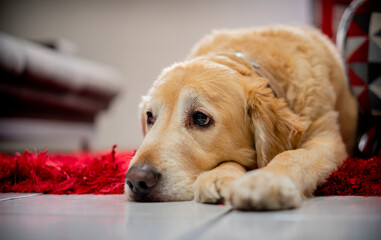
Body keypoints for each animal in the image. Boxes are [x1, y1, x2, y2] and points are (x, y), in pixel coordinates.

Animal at [124, 25, 356, 210]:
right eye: (150, 117)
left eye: (200, 118)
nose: (137, 180)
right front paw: (221, 175)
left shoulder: (327, 138)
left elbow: (292, 156)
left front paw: (266, 180)